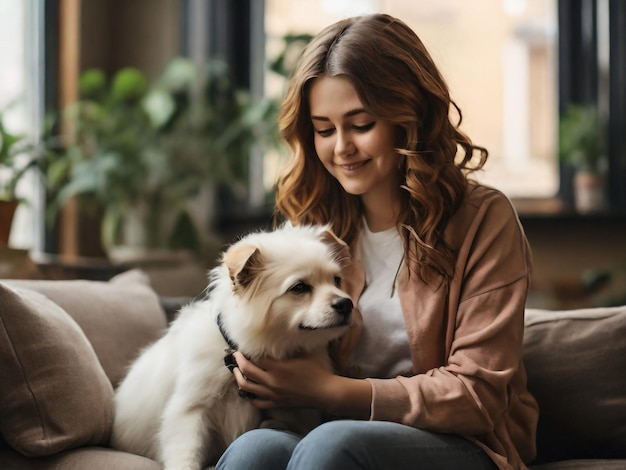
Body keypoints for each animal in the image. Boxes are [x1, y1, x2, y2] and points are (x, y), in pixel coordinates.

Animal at [108, 224, 352, 470]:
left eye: (336, 280)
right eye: (299, 287)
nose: (346, 304)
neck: (236, 357)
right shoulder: (189, 411)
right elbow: (186, 452)